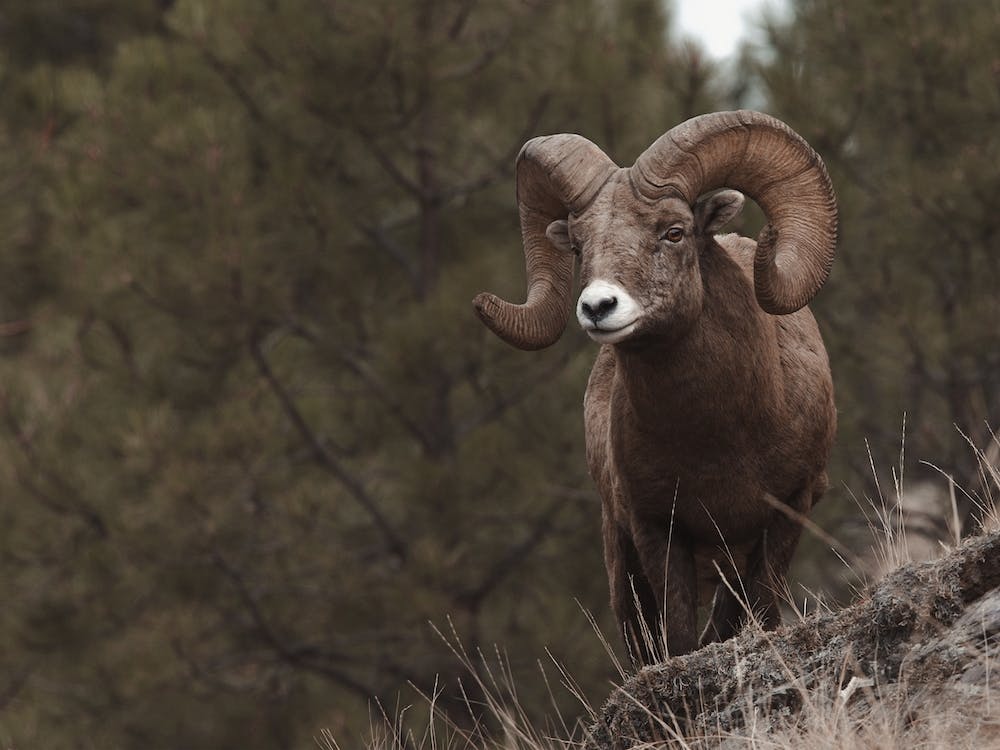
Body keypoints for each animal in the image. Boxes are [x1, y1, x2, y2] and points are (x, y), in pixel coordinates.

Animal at [473, 110, 837, 663]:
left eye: (674, 231)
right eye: (578, 246)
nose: (598, 307)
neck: (722, 441)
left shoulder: (788, 512)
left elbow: (759, 611)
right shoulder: (657, 532)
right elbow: (679, 641)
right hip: (622, 565)